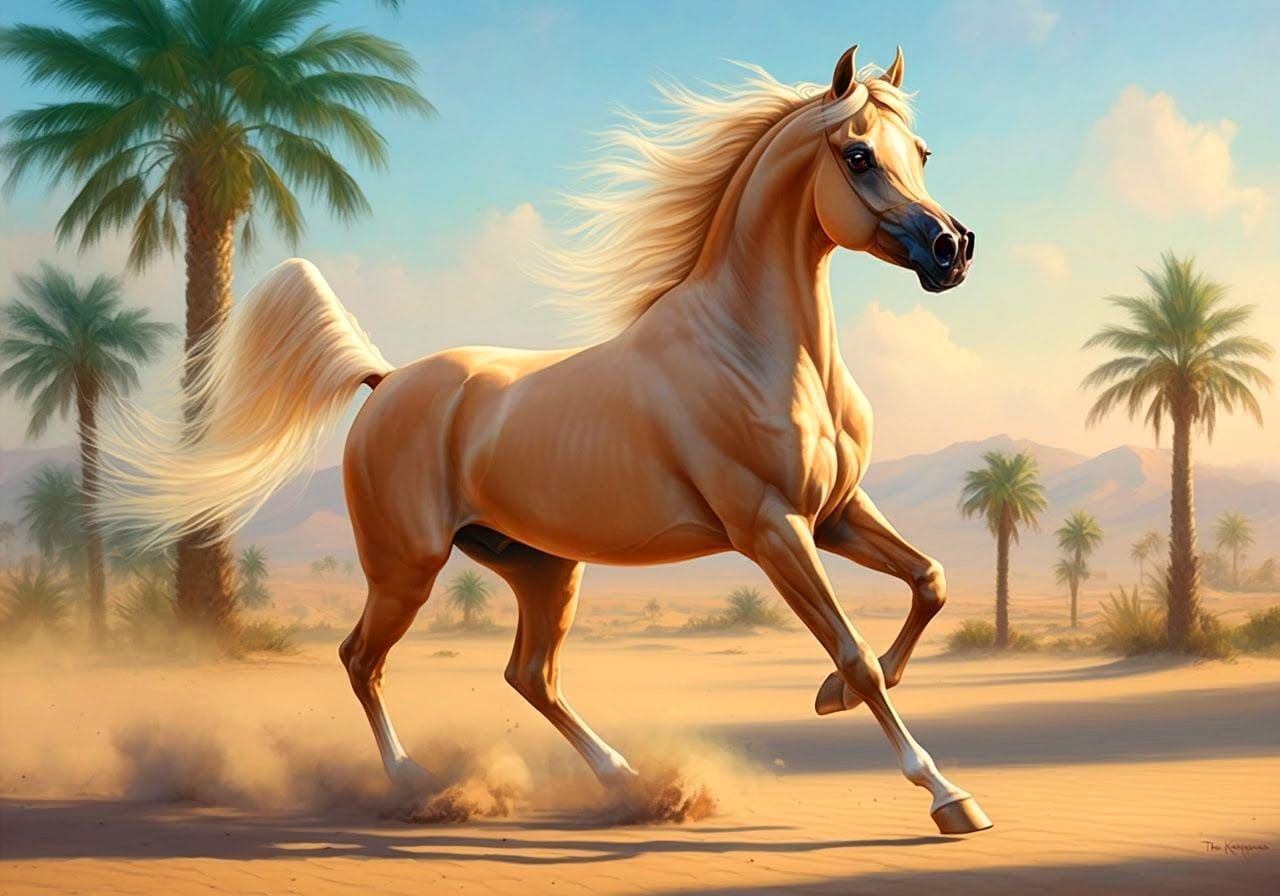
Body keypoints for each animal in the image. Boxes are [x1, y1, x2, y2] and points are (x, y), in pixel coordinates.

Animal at [101, 45, 987, 834]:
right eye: (859, 155)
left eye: (922, 153)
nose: (953, 249)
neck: (752, 349)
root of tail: (385, 382)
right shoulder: (771, 528)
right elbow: (856, 653)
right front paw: (948, 798)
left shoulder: (835, 513)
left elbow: (931, 581)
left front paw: (830, 699)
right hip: (406, 568)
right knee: (362, 659)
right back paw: (415, 783)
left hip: (542, 568)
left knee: (529, 675)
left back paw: (627, 780)